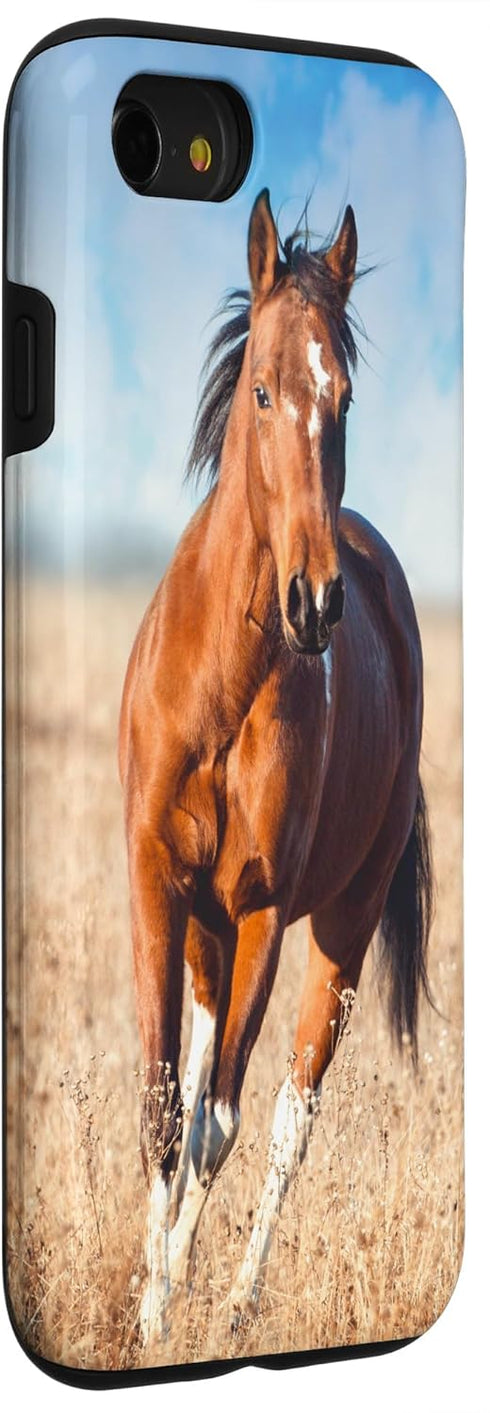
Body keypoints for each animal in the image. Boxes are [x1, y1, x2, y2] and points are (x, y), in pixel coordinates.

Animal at [118, 188, 433, 1342]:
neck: (223, 682)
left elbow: (220, 1125)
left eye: (342, 396)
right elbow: (165, 1106)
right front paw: (148, 1300)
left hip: (335, 934)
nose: (313, 602)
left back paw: (239, 1303)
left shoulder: (260, 913)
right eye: (261, 389)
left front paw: (165, 1312)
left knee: (293, 1115)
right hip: (207, 933)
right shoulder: (158, 885)